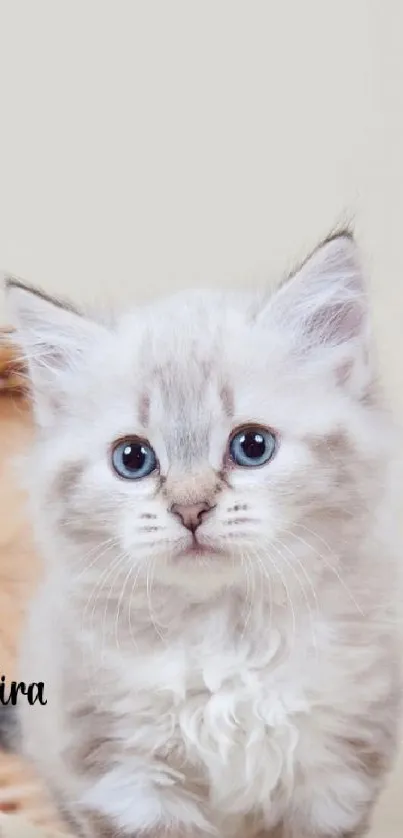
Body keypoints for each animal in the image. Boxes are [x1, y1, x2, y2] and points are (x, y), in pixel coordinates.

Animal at [3, 235, 403, 838]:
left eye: (252, 446)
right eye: (133, 458)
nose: (190, 509)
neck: (226, 634)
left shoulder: (335, 775)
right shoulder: (126, 778)